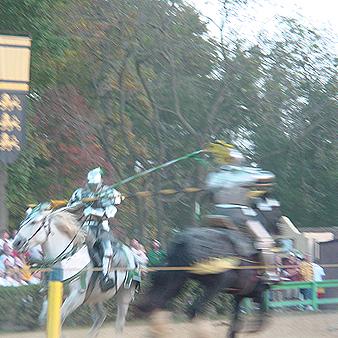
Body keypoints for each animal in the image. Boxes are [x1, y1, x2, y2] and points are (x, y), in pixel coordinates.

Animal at [12, 203, 138, 338]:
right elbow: (45, 319)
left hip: (124, 294)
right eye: (23, 223)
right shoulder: (51, 295)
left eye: (34, 222)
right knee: (100, 316)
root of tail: (133, 256)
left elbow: (60, 316)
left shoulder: (76, 296)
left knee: (119, 322)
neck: (65, 259)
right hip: (94, 297)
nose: (16, 243)